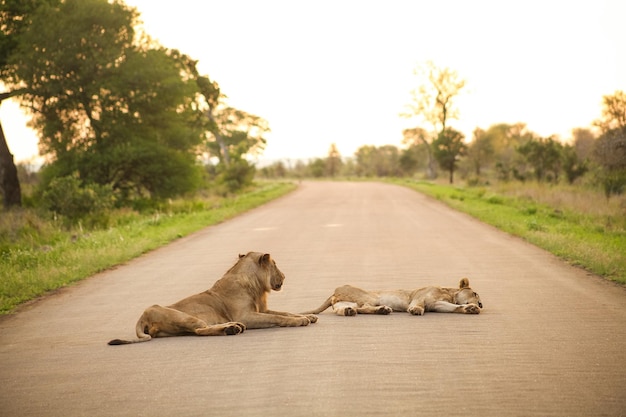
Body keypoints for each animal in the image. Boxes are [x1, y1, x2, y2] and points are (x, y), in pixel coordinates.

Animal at [106, 250, 316, 344]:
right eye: (275, 264)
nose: (285, 276)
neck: (255, 285)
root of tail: (142, 317)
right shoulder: (246, 315)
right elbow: (277, 317)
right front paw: (301, 320)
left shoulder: (260, 309)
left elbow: (285, 312)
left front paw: (309, 316)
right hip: (184, 316)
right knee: (200, 330)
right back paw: (232, 328)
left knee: (201, 329)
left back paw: (233, 328)